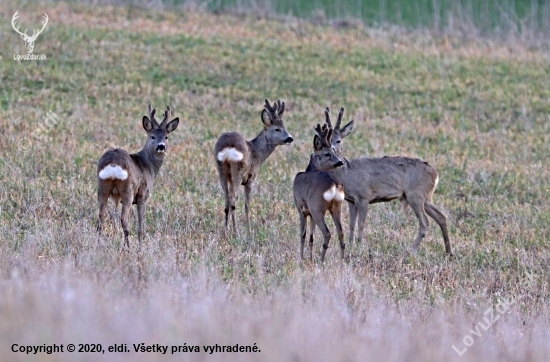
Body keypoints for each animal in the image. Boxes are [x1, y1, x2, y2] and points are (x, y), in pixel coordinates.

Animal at [96, 104, 179, 250]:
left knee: (101, 217)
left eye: (166, 137)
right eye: (152, 136)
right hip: (127, 190)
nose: (161, 146)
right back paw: (127, 248)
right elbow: (140, 226)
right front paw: (141, 246)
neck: (149, 166)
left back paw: (99, 244)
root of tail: (113, 163)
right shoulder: (143, 196)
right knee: (123, 219)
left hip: (102, 187)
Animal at [215, 98, 296, 238]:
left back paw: (225, 231)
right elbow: (247, 205)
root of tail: (228, 148)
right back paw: (236, 233)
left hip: (221, 170)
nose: (289, 138)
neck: (257, 152)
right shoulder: (250, 178)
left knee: (226, 198)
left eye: (284, 127)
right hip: (238, 170)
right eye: (277, 129)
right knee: (232, 198)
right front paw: (249, 231)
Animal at [296, 123, 348, 262]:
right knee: (341, 232)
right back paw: (342, 261)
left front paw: (301, 259)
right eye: (328, 153)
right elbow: (311, 237)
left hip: (317, 207)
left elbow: (303, 235)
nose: (340, 162)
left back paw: (321, 260)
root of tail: (334, 184)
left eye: (332, 152)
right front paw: (309, 258)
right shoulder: (310, 214)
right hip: (337, 206)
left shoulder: (301, 209)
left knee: (327, 233)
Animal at [328, 107, 452, 255]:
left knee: (425, 222)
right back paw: (449, 252)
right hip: (426, 197)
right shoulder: (351, 201)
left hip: (415, 195)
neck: (347, 173)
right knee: (441, 217)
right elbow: (351, 225)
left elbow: (361, 224)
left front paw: (359, 246)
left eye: (338, 140)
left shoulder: (364, 197)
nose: (331, 150)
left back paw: (411, 250)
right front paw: (351, 246)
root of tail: (435, 174)